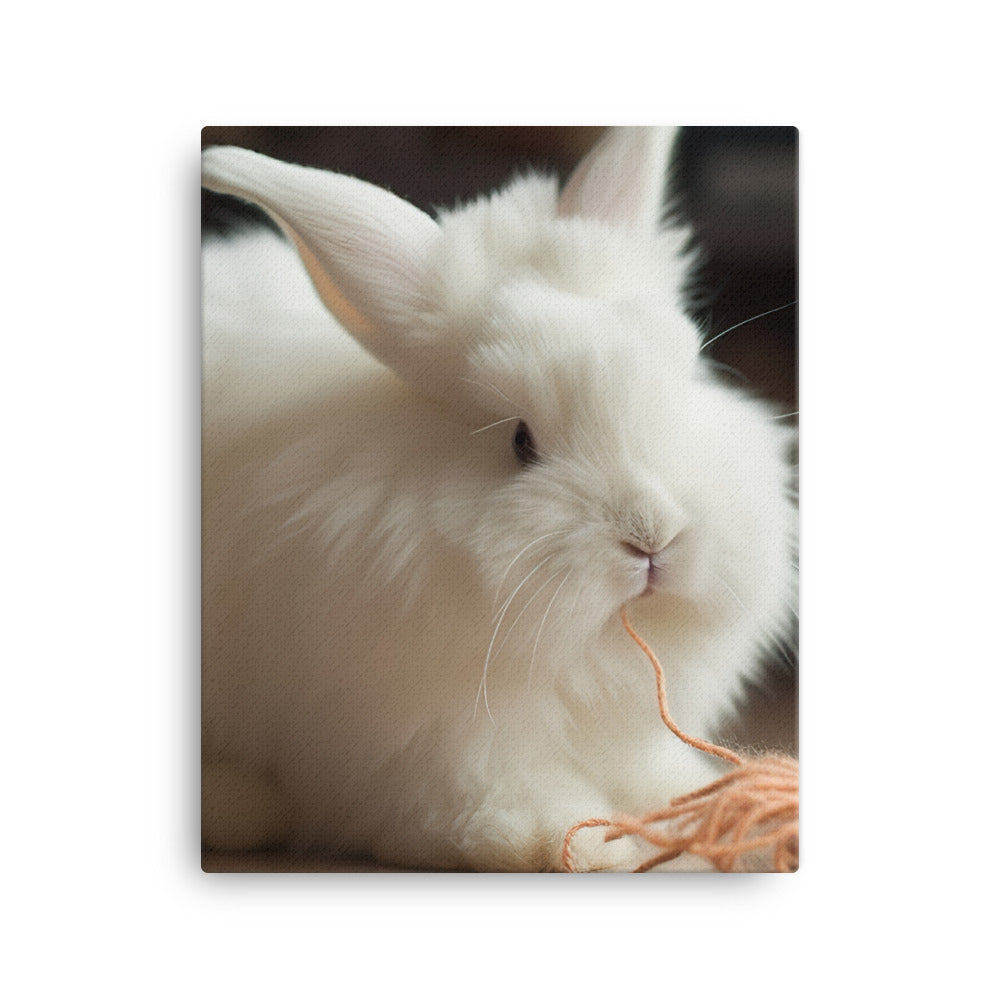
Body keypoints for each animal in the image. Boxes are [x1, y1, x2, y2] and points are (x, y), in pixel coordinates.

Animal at [200, 127, 797, 872]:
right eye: (520, 441)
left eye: (684, 383)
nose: (652, 537)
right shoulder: (419, 754)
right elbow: (491, 809)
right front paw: (584, 841)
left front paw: (709, 804)